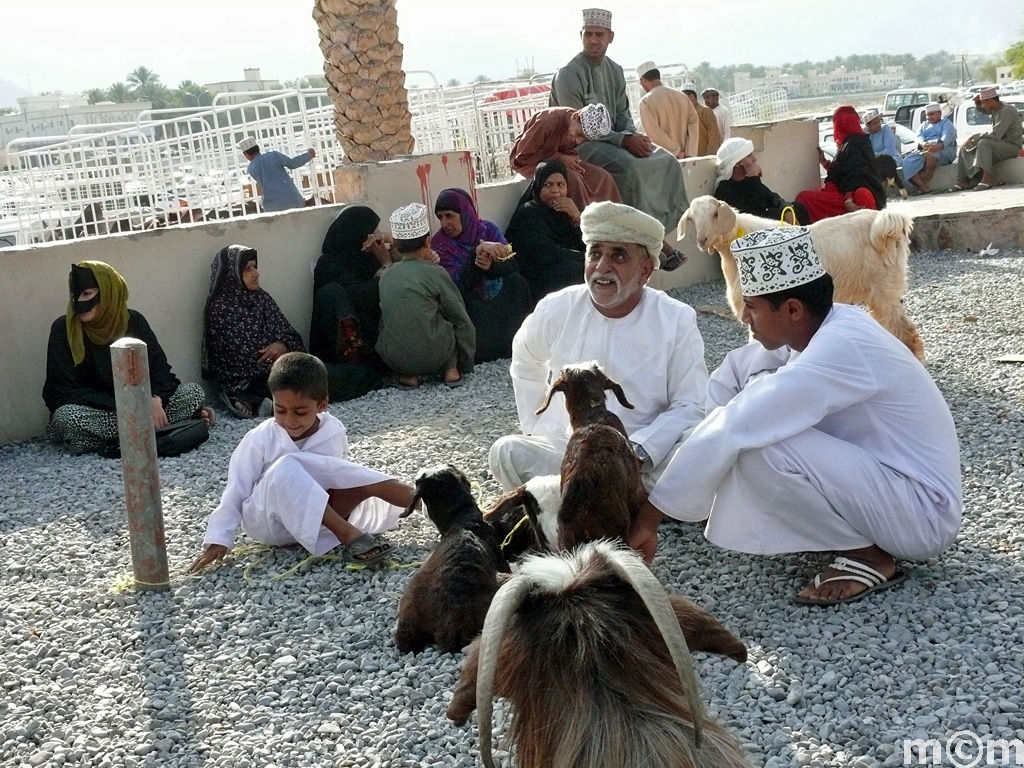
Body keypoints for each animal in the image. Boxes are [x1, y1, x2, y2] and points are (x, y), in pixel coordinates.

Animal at [675, 193, 925, 360]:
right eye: (692, 219)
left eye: (715, 214)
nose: (702, 240)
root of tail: (886, 223)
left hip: (883, 289)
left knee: (903, 329)